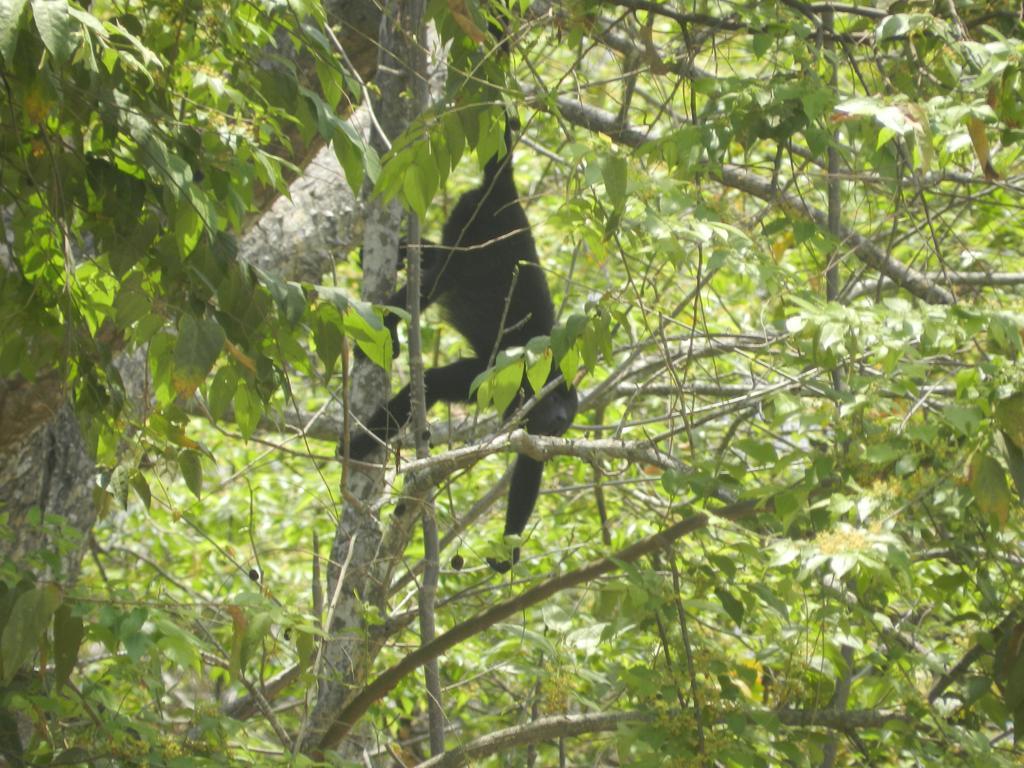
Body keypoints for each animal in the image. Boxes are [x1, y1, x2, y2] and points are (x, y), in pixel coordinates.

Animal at [350, 114, 577, 573]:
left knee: (435, 261)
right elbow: (435, 382)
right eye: (556, 400)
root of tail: (506, 194)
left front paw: (508, 550)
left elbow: (529, 461)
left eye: (566, 420)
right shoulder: (500, 373)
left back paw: (403, 252)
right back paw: (389, 324)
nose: (560, 422)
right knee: (438, 278)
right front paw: (361, 442)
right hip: (473, 222)